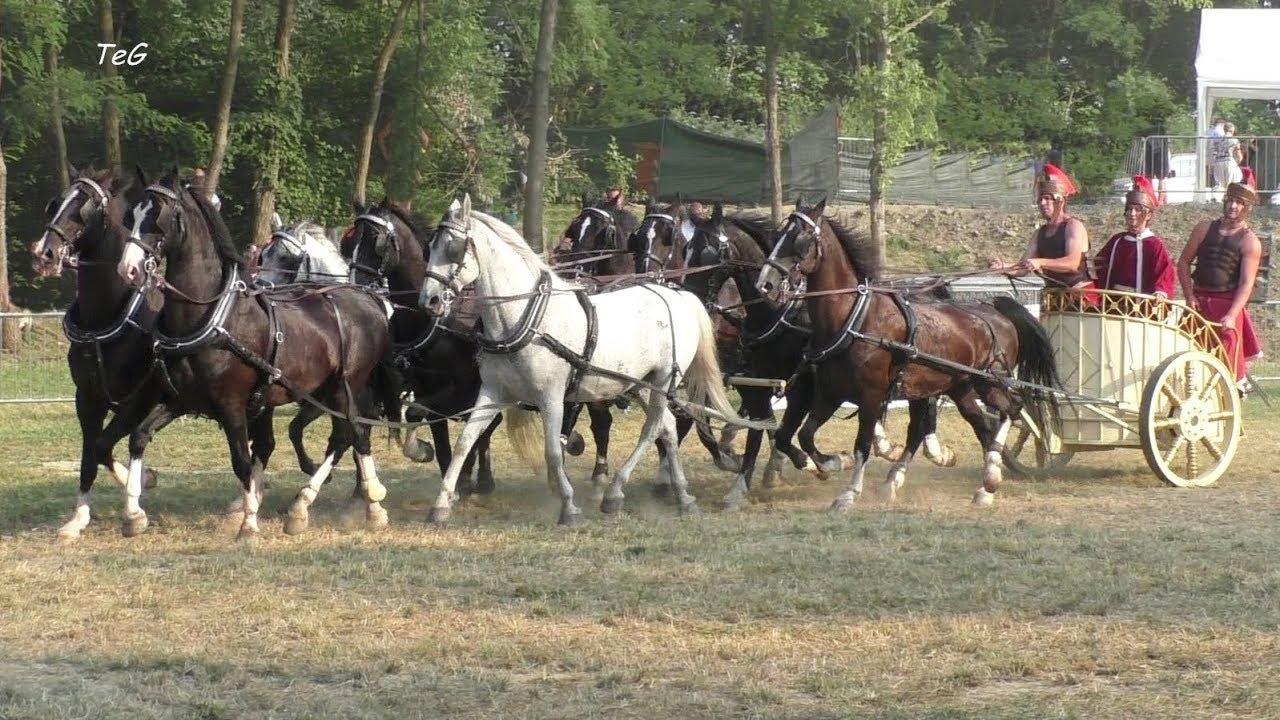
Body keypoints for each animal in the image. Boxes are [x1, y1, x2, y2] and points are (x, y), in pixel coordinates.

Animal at [116, 169, 394, 539]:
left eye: (158, 217)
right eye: (131, 216)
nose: (128, 269)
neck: (212, 316)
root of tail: (368, 298)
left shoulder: (232, 406)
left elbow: (242, 461)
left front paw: (248, 523)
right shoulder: (182, 400)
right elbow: (138, 437)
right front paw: (133, 514)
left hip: (345, 387)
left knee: (351, 433)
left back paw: (328, 504)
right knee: (352, 434)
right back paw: (362, 504)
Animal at [345, 199, 502, 496]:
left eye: (375, 240)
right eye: (349, 242)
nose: (354, 285)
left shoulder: (458, 388)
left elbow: (420, 413)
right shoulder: (423, 386)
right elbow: (439, 441)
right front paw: (447, 474)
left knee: (487, 427)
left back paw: (484, 478)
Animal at [418, 195, 761, 525]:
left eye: (454, 248)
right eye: (430, 246)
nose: (428, 300)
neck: (526, 319)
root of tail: (679, 295)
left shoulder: (552, 397)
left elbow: (553, 451)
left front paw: (569, 506)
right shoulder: (493, 393)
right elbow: (466, 441)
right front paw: (441, 504)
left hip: (664, 380)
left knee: (652, 428)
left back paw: (616, 492)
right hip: (640, 384)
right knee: (668, 426)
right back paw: (682, 495)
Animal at [755, 198, 1060, 508]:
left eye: (801, 238)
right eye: (777, 235)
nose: (765, 284)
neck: (855, 319)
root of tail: (994, 310)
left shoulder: (871, 396)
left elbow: (862, 444)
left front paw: (849, 493)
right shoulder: (831, 393)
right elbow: (805, 435)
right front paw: (832, 463)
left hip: (989, 383)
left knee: (1012, 410)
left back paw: (989, 476)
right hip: (960, 387)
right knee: (982, 426)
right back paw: (985, 484)